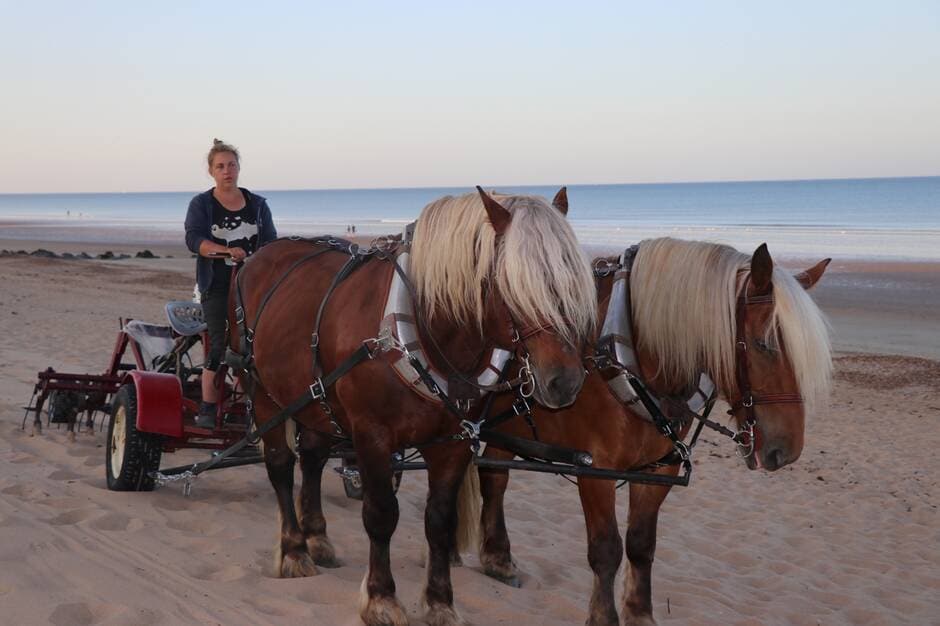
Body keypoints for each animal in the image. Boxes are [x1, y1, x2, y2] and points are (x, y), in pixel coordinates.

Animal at [235, 186, 596, 624]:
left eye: (572, 280)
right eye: (514, 283)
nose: (565, 381)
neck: (421, 332)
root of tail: (258, 256)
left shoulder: (453, 442)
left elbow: (440, 520)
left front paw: (440, 601)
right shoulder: (371, 437)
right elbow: (380, 514)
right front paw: (381, 598)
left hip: (316, 402)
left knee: (314, 458)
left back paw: (317, 537)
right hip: (264, 394)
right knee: (282, 467)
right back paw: (294, 549)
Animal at [478, 238, 828, 624]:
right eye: (763, 344)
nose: (788, 450)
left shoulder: (659, 468)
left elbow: (641, 545)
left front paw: (639, 612)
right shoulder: (595, 471)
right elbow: (606, 549)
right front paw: (603, 616)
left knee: (492, 477)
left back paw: (496, 556)